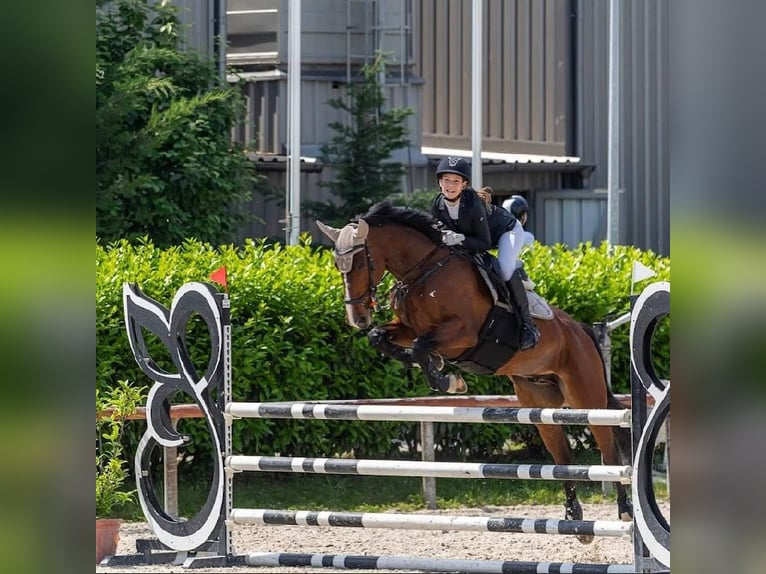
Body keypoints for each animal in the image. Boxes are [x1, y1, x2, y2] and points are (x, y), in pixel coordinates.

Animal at [316, 202, 632, 544]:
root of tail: (581, 330)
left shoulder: (463, 334)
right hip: (540, 405)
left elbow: (421, 345)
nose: (357, 318)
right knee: (564, 458)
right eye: (337, 264)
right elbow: (383, 338)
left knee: (610, 452)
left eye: (361, 261)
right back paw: (575, 519)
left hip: (587, 399)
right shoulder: (408, 328)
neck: (423, 272)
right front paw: (436, 369)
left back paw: (625, 512)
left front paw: (446, 378)